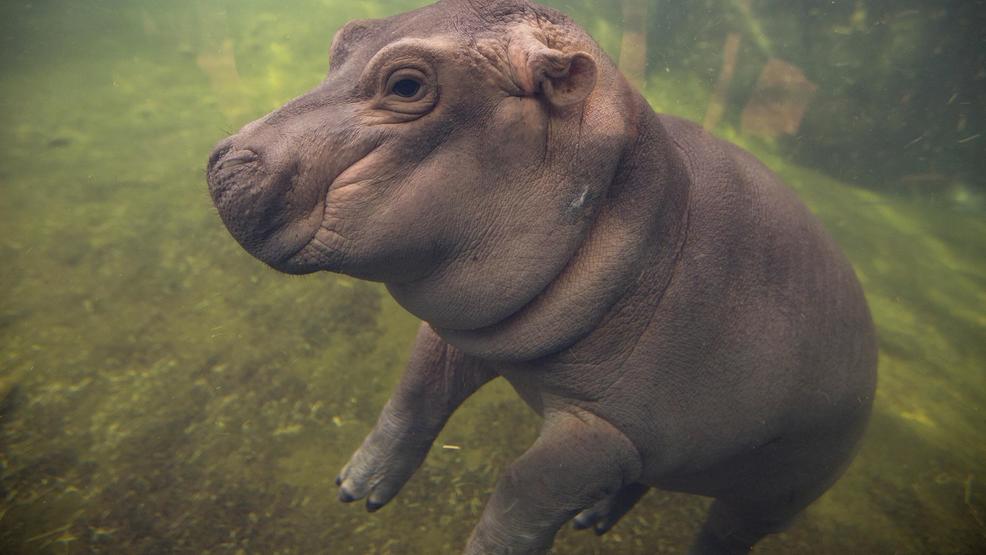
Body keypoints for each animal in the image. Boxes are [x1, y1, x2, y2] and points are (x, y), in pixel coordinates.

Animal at [205, 1, 877, 552]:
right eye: (345, 36)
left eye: (406, 84)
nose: (221, 160)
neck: (648, 216)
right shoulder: (470, 328)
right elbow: (414, 395)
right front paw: (356, 488)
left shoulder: (606, 431)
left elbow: (524, 487)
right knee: (642, 480)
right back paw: (592, 519)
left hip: (772, 496)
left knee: (724, 534)